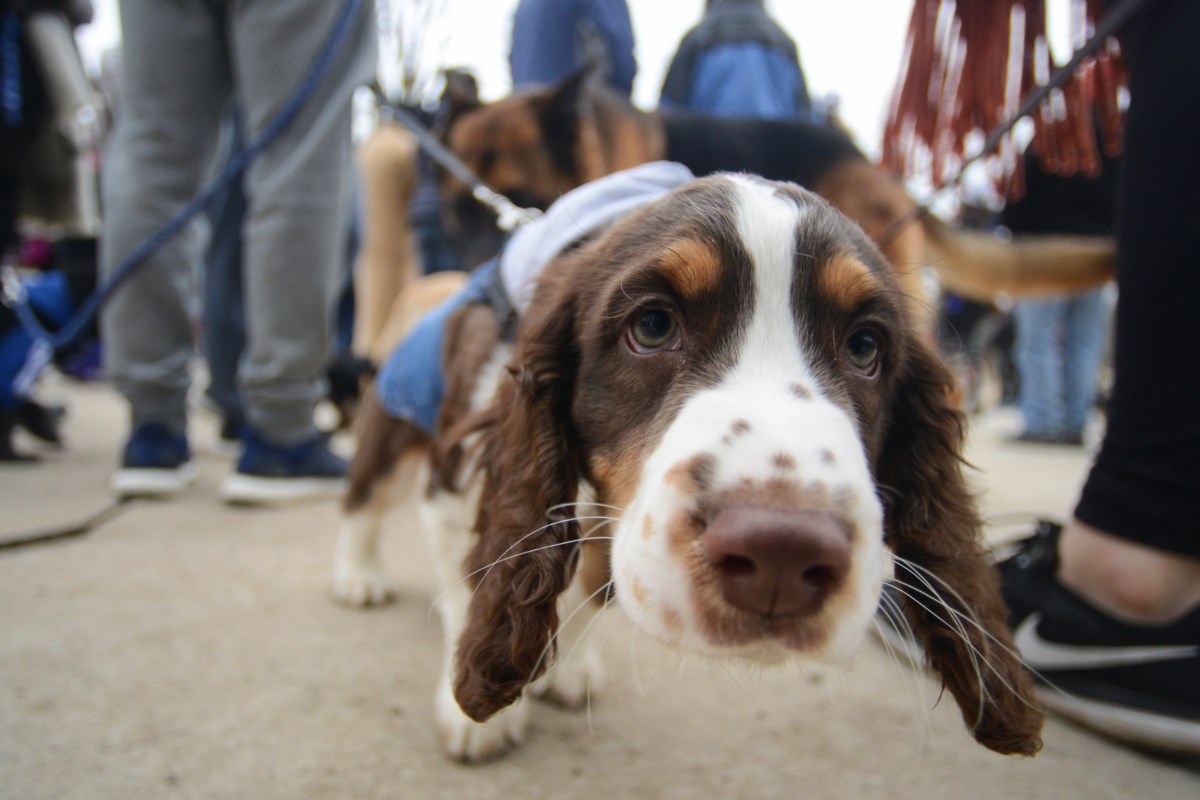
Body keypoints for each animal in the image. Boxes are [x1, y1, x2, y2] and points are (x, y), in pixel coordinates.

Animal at [333, 173, 1046, 762]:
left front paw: (566, 668)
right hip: (389, 427)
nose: (781, 555)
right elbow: (473, 582)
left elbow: (589, 586)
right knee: (363, 501)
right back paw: (359, 577)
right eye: (652, 326)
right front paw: (477, 718)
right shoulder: (455, 490)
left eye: (866, 346)